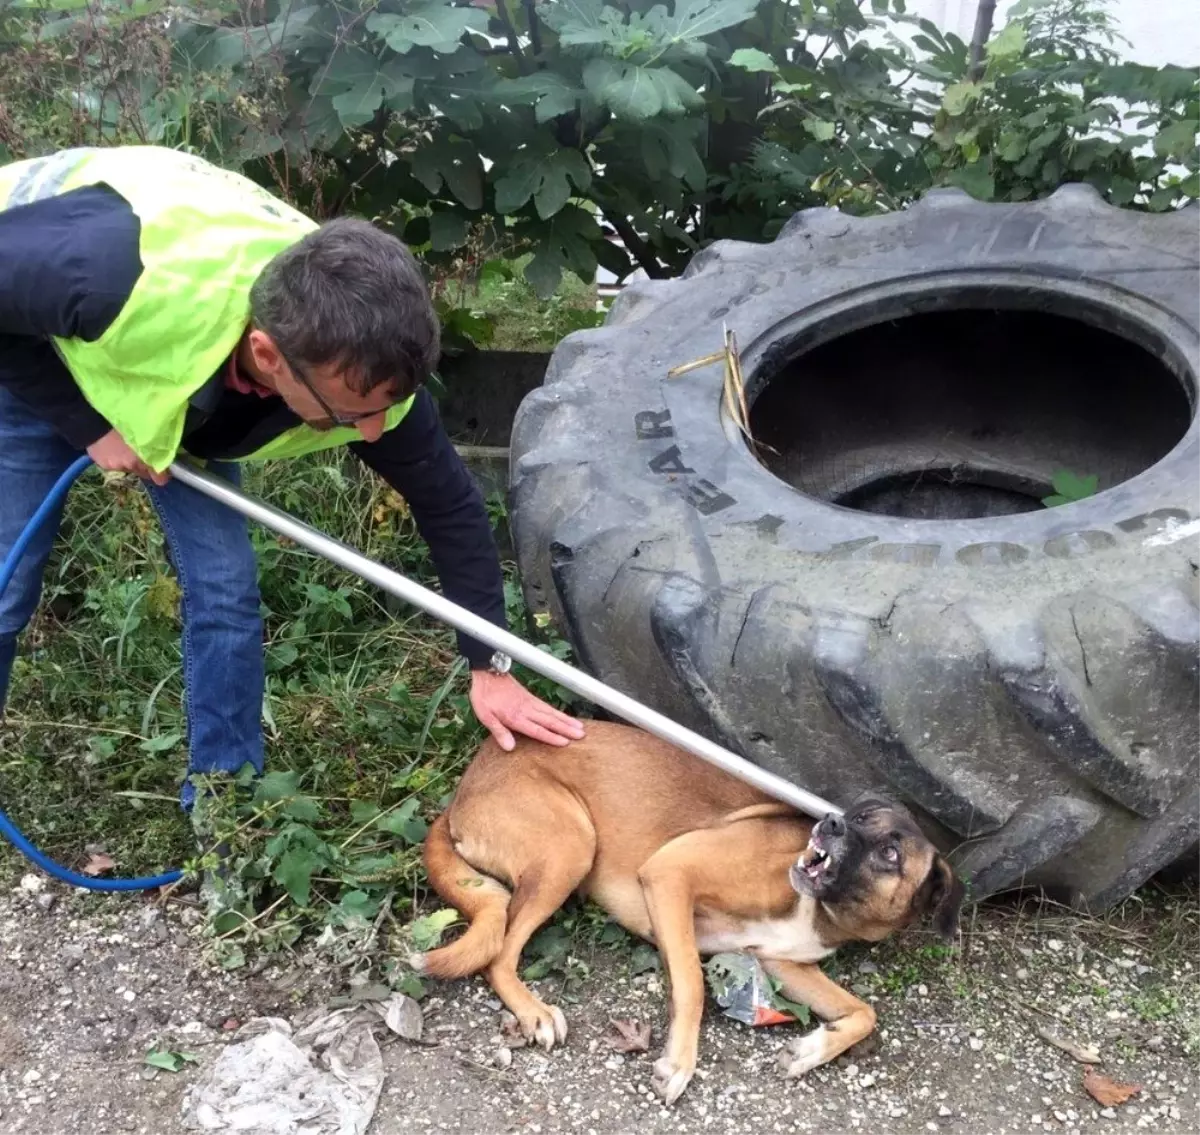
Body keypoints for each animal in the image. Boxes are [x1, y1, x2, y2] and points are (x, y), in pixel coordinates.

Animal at [412, 719, 964, 1103]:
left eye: (890, 853)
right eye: (862, 816)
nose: (830, 823)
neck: (822, 910)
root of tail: (465, 788)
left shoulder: (783, 963)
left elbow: (865, 1012)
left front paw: (810, 1050)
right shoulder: (670, 875)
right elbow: (694, 985)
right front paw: (678, 1064)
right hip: (570, 848)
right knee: (498, 956)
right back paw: (533, 1011)